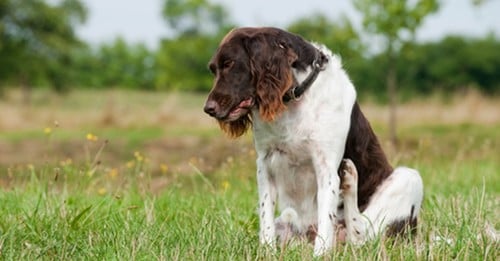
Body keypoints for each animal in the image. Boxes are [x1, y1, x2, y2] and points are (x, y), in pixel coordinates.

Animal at [203, 27, 422, 255]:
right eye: (213, 70)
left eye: (230, 64)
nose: (208, 108)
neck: (294, 99)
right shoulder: (264, 164)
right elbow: (265, 219)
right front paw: (266, 252)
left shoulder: (326, 168)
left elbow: (326, 222)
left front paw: (320, 255)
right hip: (287, 221)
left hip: (409, 178)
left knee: (362, 238)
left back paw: (350, 177)